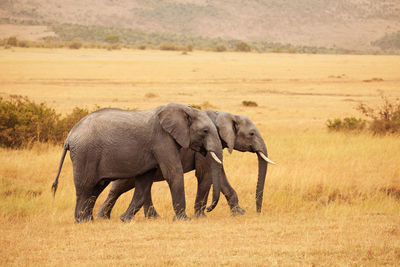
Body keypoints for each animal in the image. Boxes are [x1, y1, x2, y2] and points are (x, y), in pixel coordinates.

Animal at [50, 103, 223, 223]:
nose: (209, 209)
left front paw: (125, 219)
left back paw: (89, 220)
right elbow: (173, 173)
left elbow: (144, 181)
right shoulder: (161, 140)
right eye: (205, 131)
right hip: (85, 154)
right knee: (86, 186)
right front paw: (184, 220)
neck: (183, 109)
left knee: (96, 187)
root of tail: (69, 136)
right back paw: (82, 221)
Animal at [95, 109, 276, 222]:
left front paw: (239, 213)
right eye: (251, 134)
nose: (257, 211)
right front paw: (200, 216)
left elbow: (220, 177)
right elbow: (205, 175)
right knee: (121, 186)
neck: (224, 114)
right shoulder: (203, 149)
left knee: (123, 186)